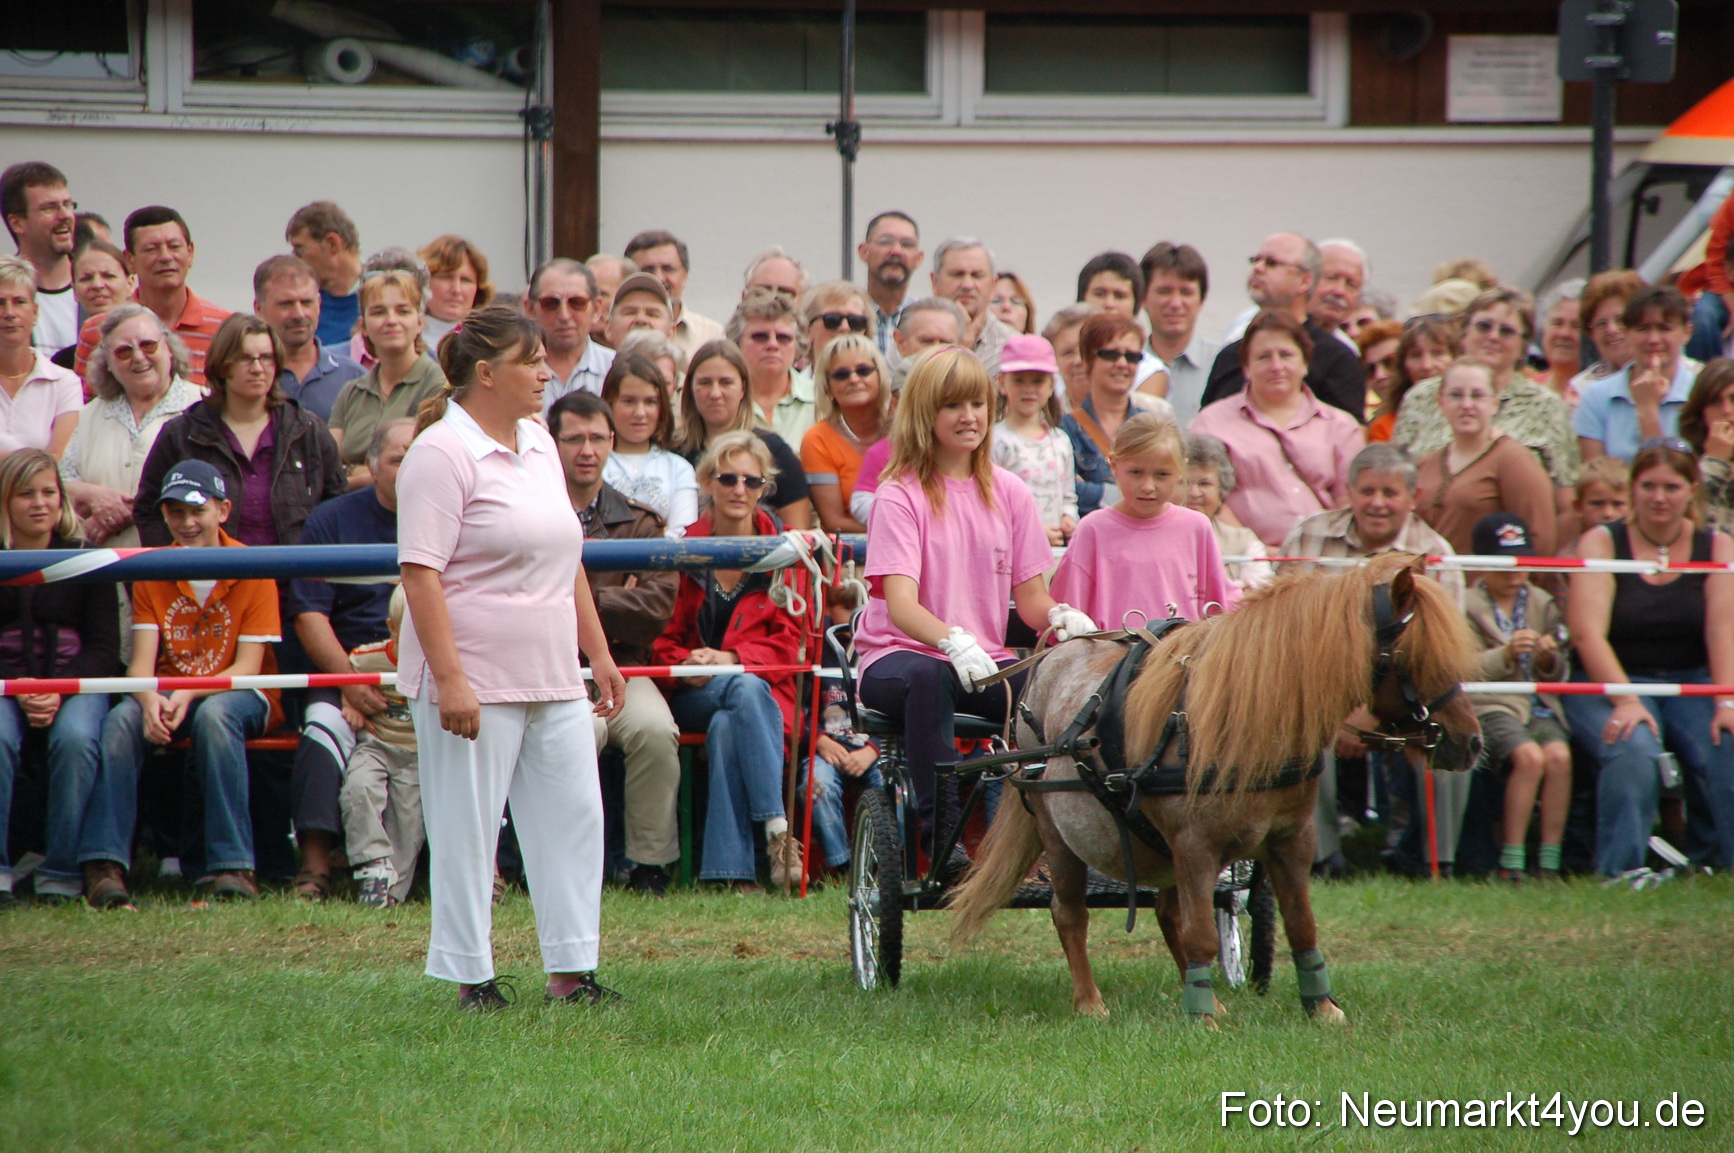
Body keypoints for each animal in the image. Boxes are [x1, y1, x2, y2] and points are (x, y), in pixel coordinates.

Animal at [948, 554, 1483, 1024]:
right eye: (1417, 654)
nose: (1471, 742)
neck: (1249, 716)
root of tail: (1055, 654)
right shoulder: (1195, 845)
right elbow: (1202, 932)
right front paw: (1201, 1018)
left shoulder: (1290, 839)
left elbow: (1299, 924)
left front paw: (1321, 1007)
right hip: (1057, 827)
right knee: (1071, 912)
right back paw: (1092, 1002)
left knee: (1168, 912)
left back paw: (1202, 991)